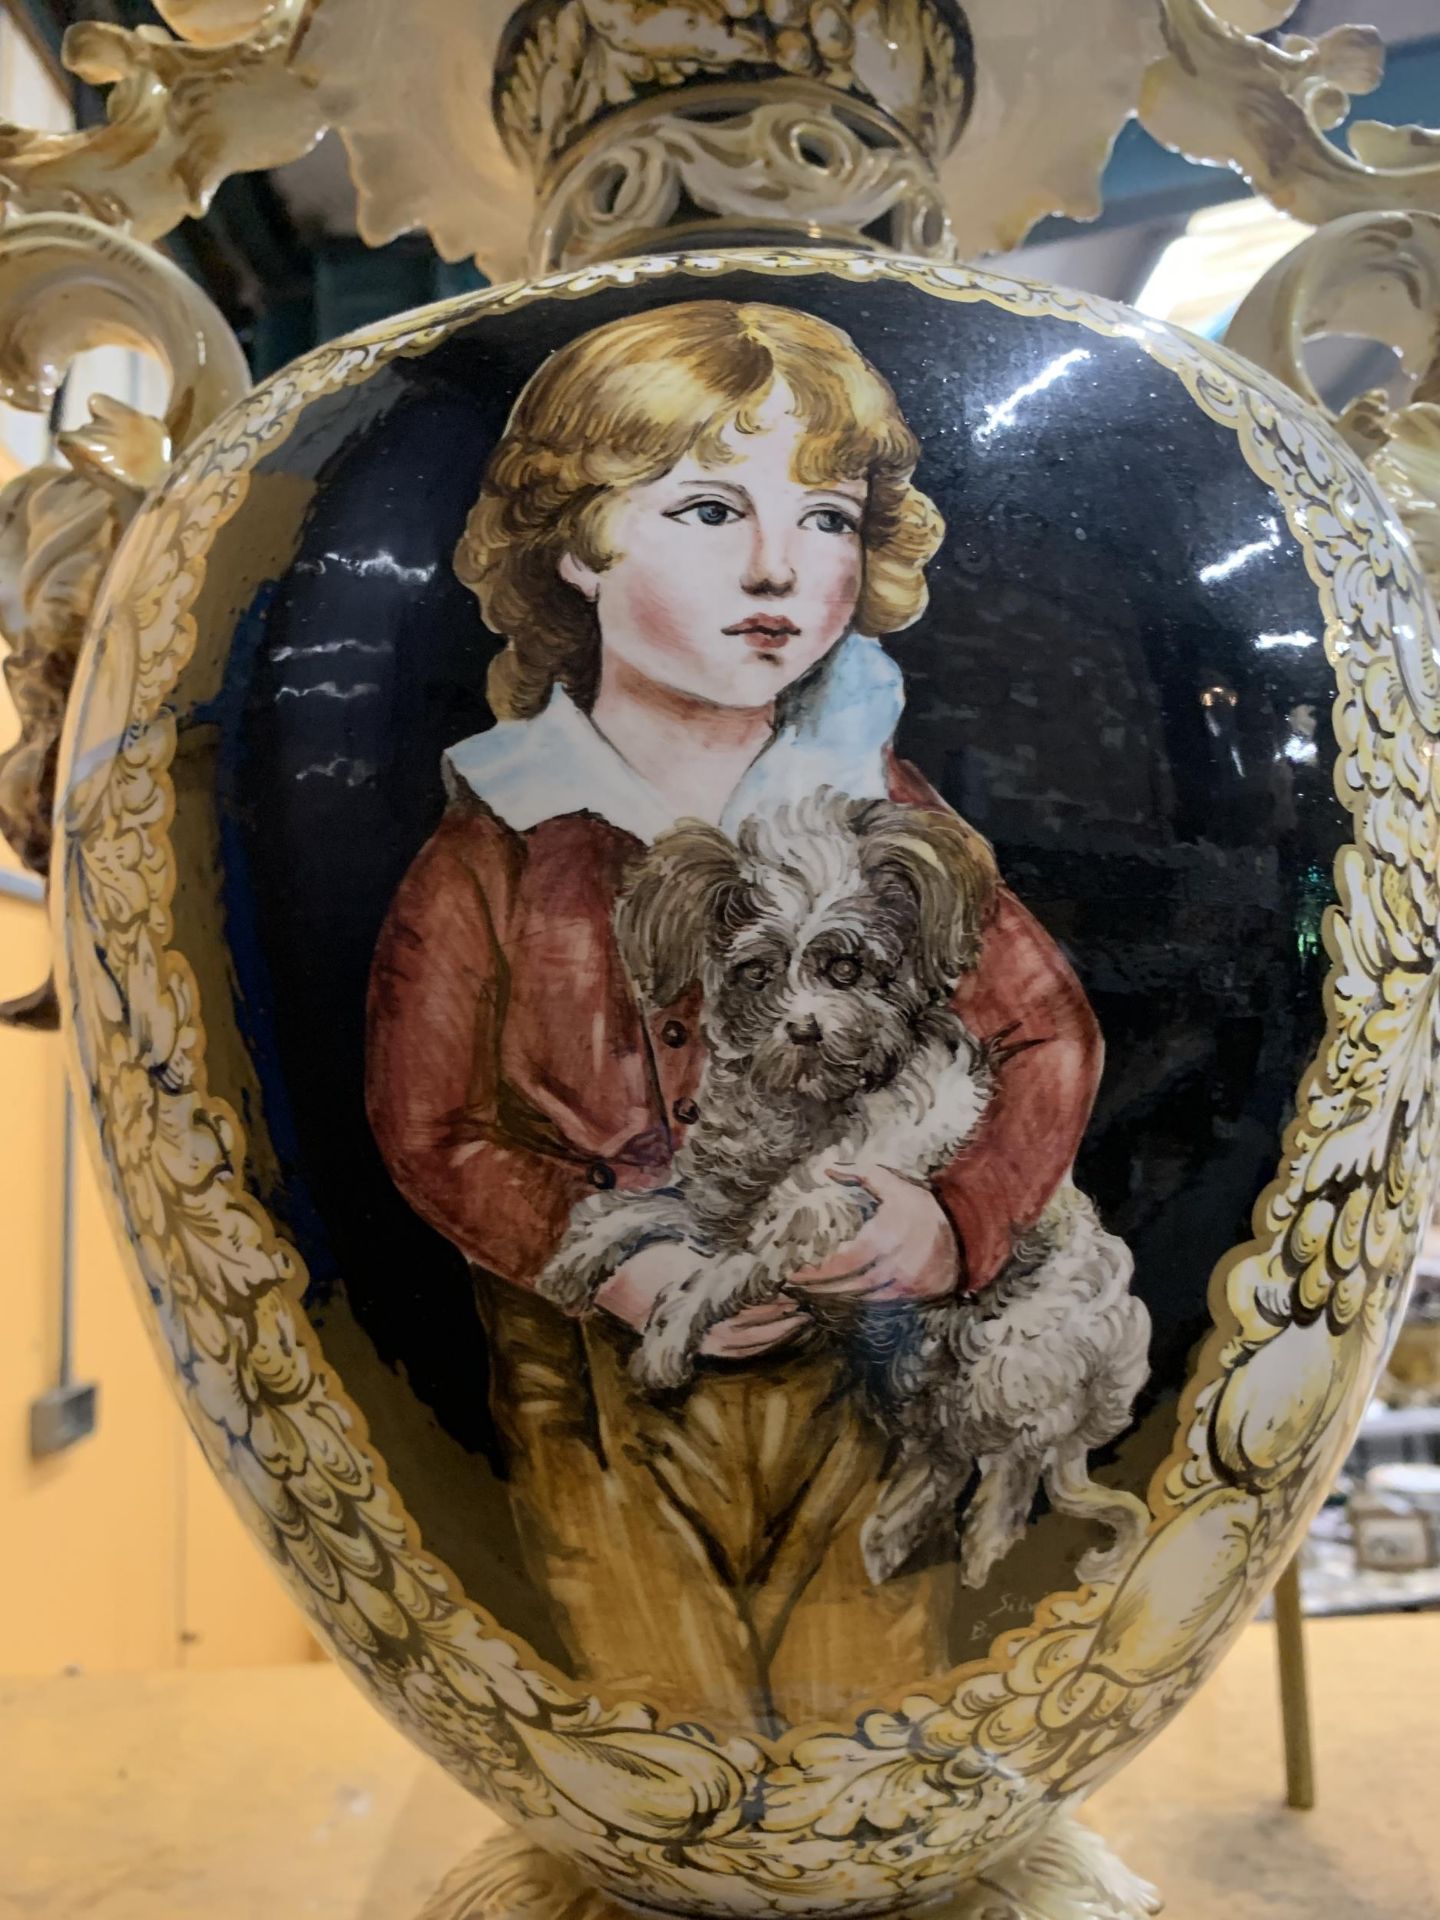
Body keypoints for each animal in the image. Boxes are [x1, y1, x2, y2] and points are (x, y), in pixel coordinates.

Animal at [537, 783, 1159, 1589]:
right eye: (757, 974)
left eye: (846, 971)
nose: (805, 1031)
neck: (813, 1105)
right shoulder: (716, 1201)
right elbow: (635, 1206)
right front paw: (577, 1261)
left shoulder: (817, 1213)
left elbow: (714, 1274)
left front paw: (668, 1339)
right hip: (912, 1373)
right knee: (945, 1454)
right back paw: (890, 1541)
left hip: (999, 1368)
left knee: (1010, 1465)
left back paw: (979, 1555)